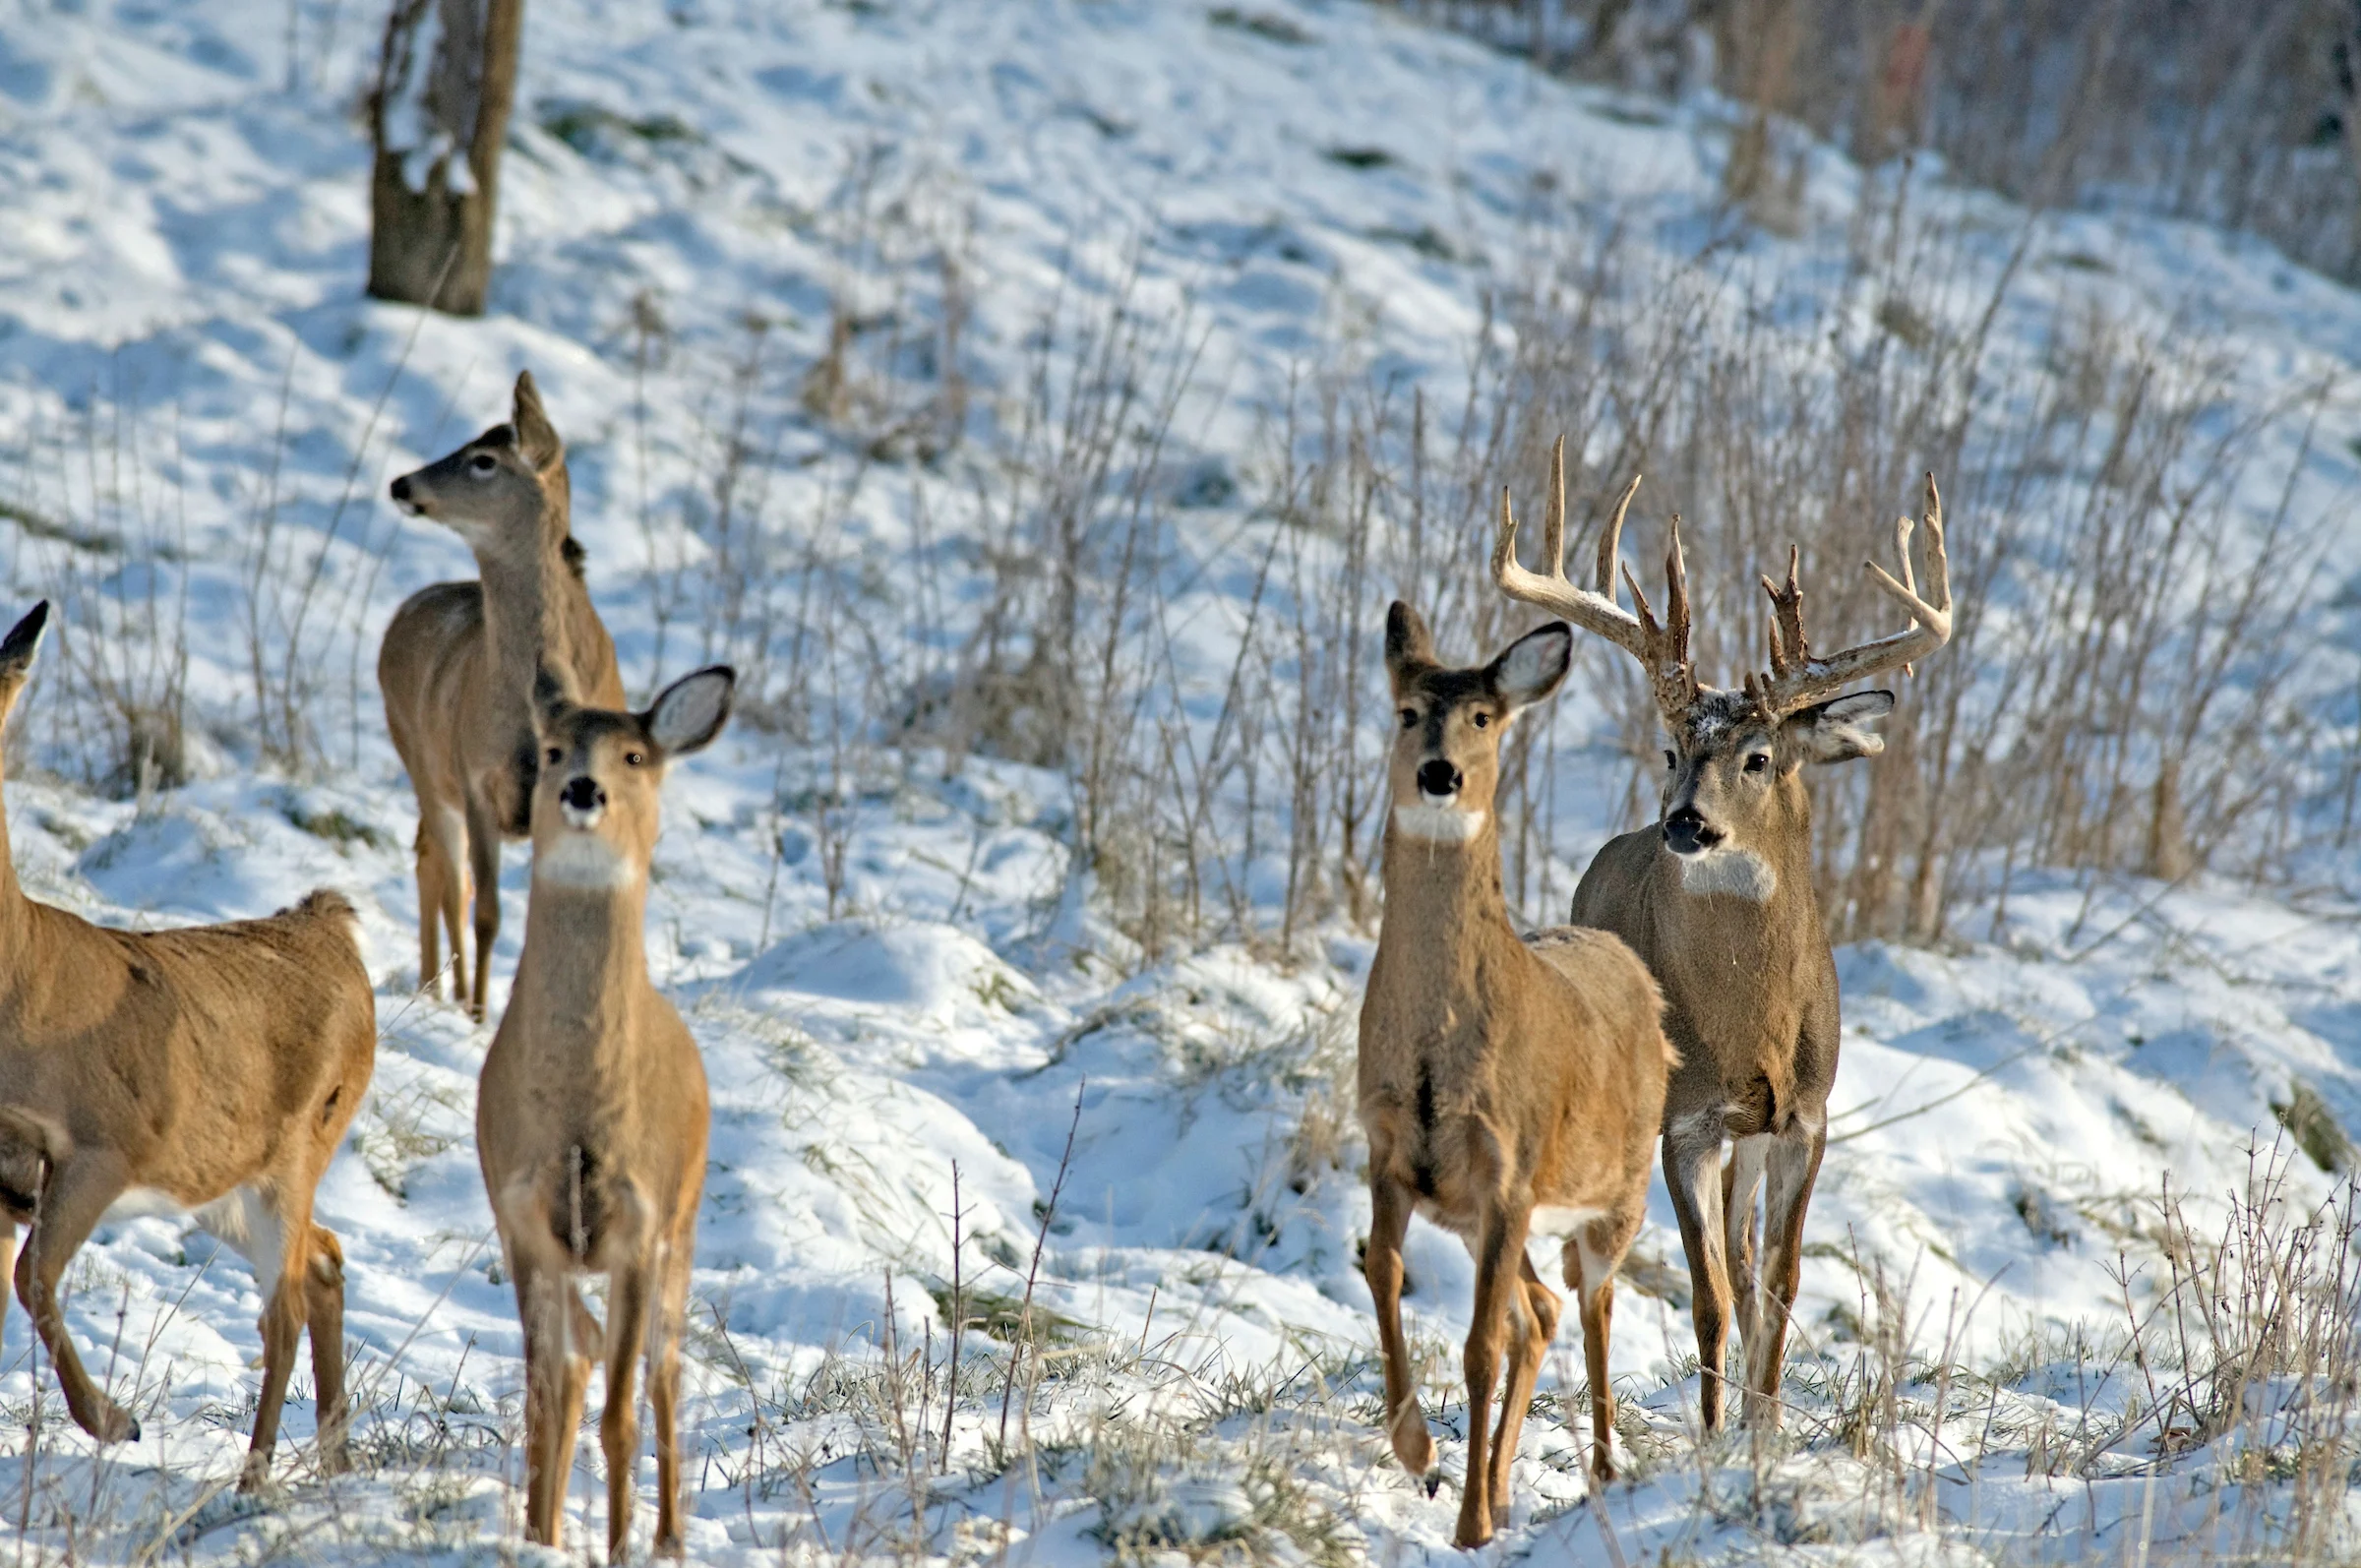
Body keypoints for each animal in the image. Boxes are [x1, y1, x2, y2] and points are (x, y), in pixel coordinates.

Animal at [0, 604, 373, 1492]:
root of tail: (330, 925)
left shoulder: (101, 1145)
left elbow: (35, 1282)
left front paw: (115, 1422)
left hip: (292, 1156)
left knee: (284, 1309)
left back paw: (254, 1479)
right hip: (222, 1184)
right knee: (326, 1259)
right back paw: (335, 1463)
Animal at [375, 373, 623, 1024]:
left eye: (483, 460)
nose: (402, 483)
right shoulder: (477, 778)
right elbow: (486, 911)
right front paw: (479, 1014)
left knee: (432, 861)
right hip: (420, 759)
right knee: (443, 869)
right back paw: (445, 992)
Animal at [474, 656, 732, 1558]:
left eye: (633, 756)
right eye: (553, 748)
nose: (582, 788)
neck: (579, 1114)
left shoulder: (640, 1227)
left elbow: (622, 1414)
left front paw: (619, 1547)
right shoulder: (522, 1224)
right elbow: (545, 1396)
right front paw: (539, 1538)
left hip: (686, 1226)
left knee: (664, 1377)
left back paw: (669, 1537)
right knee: (581, 1360)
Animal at [1360, 604, 1671, 1548]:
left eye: (1483, 718)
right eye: (1406, 712)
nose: (1439, 774)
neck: (1436, 1050)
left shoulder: (1508, 1170)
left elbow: (1478, 1348)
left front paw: (1465, 1525)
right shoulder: (1391, 1148)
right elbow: (1382, 1272)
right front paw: (1420, 1453)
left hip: (1615, 1195)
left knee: (1589, 1307)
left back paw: (1602, 1470)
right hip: (1490, 1216)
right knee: (1540, 1311)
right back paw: (1501, 1489)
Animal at [1491, 441, 1955, 1435]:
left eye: (1760, 757)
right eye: (1670, 749)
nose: (1687, 824)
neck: (1751, 1027)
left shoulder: (1804, 1117)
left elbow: (1773, 1284)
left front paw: (1765, 1429)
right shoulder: (1687, 1122)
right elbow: (1704, 1293)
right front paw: (1711, 1437)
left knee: (1739, 1267)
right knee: (1600, 1264)